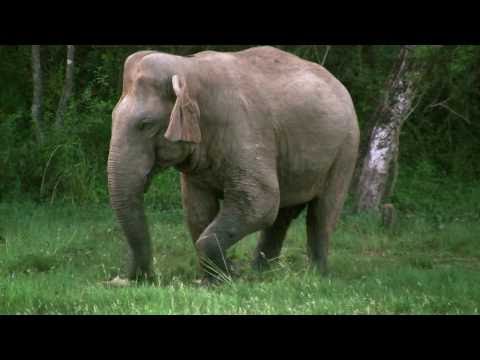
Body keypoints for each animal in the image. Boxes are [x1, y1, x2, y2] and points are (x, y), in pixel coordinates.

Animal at [106, 46, 360, 284]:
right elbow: (197, 209)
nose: (145, 277)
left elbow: (261, 202)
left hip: (346, 149)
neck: (189, 68)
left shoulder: (245, 129)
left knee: (322, 212)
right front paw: (218, 277)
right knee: (283, 215)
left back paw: (317, 275)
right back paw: (261, 273)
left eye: (145, 124)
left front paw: (227, 276)